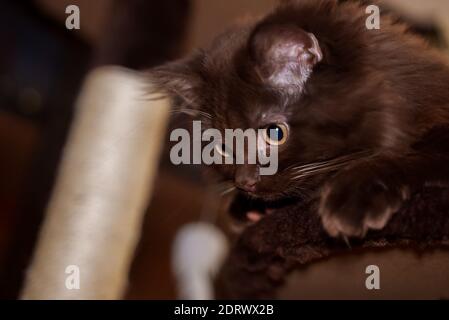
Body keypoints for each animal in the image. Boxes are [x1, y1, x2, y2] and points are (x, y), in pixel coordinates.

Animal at [149, 0, 448, 239]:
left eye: (274, 133)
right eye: (222, 148)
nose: (245, 182)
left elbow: (408, 154)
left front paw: (352, 198)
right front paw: (246, 209)